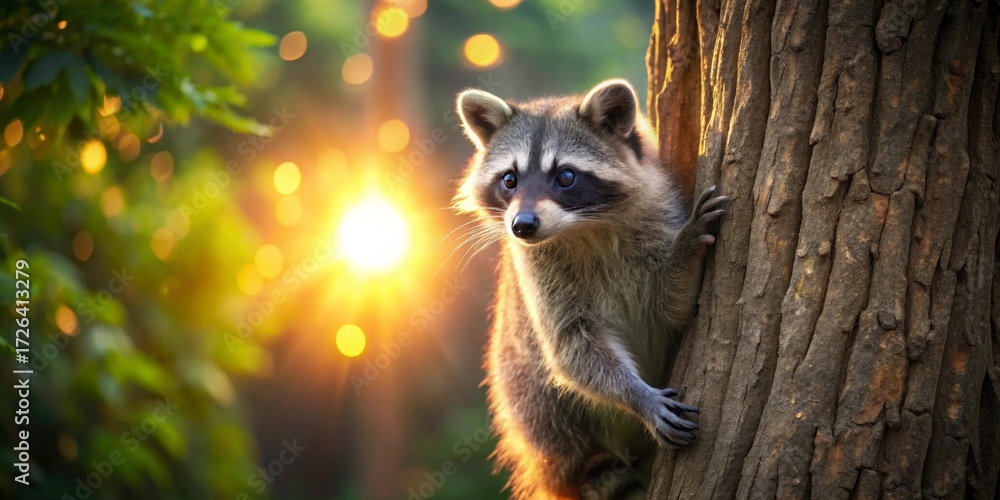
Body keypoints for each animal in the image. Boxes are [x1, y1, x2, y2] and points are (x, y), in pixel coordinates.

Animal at [453, 79, 726, 499]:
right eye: (509, 179)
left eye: (565, 176)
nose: (522, 225)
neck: (582, 228)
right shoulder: (537, 268)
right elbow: (571, 347)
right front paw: (637, 396)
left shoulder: (659, 217)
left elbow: (674, 307)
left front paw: (687, 253)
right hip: (529, 404)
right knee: (538, 400)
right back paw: (593, 469)